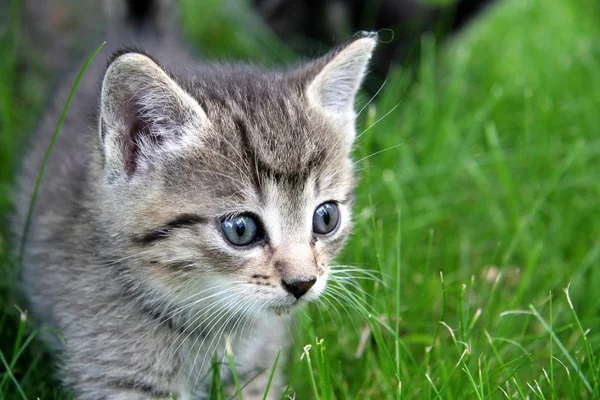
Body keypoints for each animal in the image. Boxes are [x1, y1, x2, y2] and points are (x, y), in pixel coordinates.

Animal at [14, 0, 378, 400]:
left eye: (326, 218)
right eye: (240, 229)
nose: (303, 283)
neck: (208, 326)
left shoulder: (257, 367)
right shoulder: (117, 373)